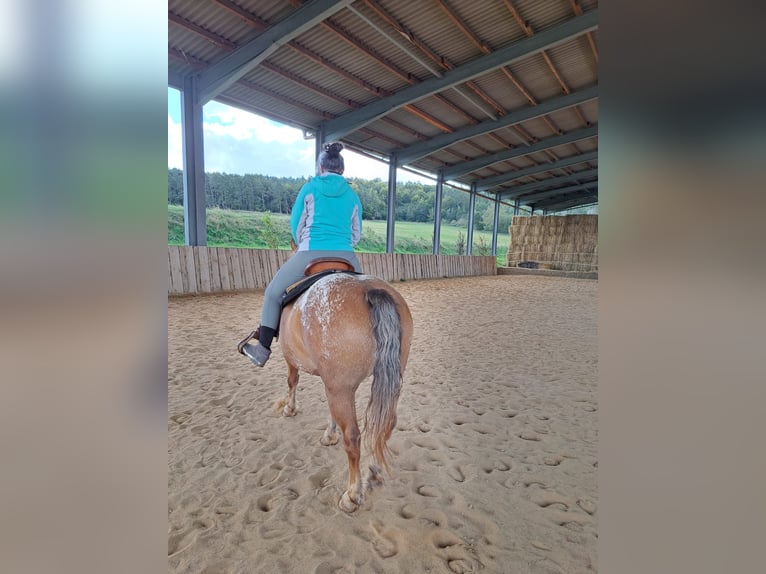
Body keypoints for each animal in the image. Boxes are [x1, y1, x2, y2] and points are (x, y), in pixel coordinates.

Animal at [256, 264, 414, 516]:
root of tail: (370, 289)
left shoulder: (296, 363)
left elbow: (292, 381)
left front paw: (290, 409)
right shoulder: (332, 383)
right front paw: (329, 435)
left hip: (341, 389)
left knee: (353, 437)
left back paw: (352, 495)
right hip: (382, 384)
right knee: (385, 426)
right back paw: (373, 472)